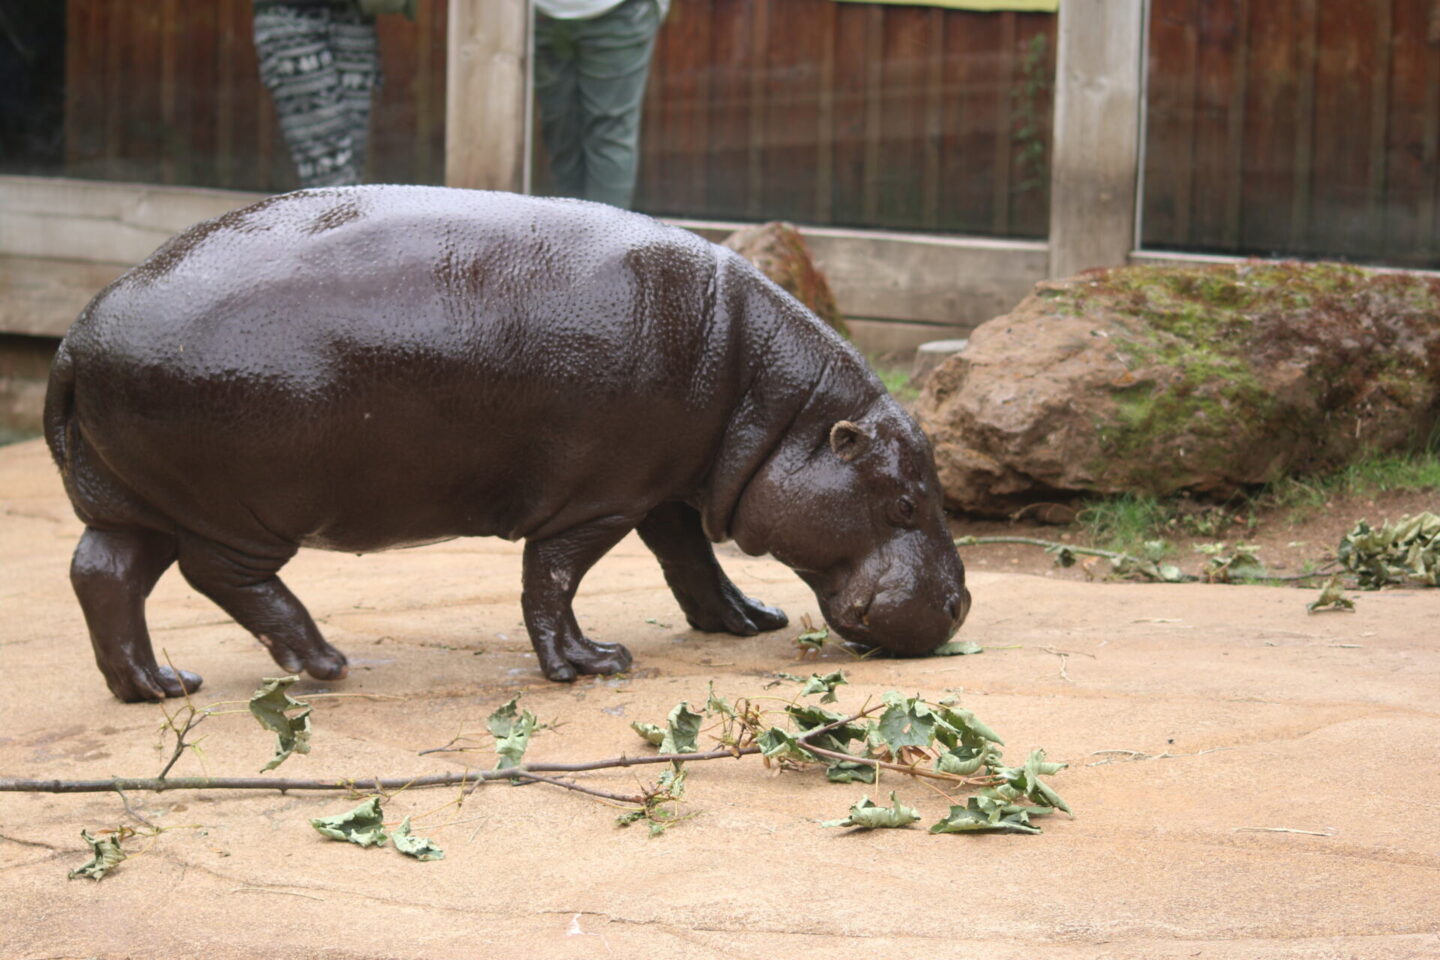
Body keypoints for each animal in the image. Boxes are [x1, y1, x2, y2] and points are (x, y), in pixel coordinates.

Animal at [43, 186, 970, 702]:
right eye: (904, 502)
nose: (962, 605)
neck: (772, 401)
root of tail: (75, 336)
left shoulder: (667, 484)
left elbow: (689, 561)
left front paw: (748, 620)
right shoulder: (600, 496)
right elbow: (553, 578)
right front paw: (593, 664)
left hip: (135, 501)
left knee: (102, 575)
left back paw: (157, 688)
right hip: (237, 507)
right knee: (222, 577)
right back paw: (325, 662)